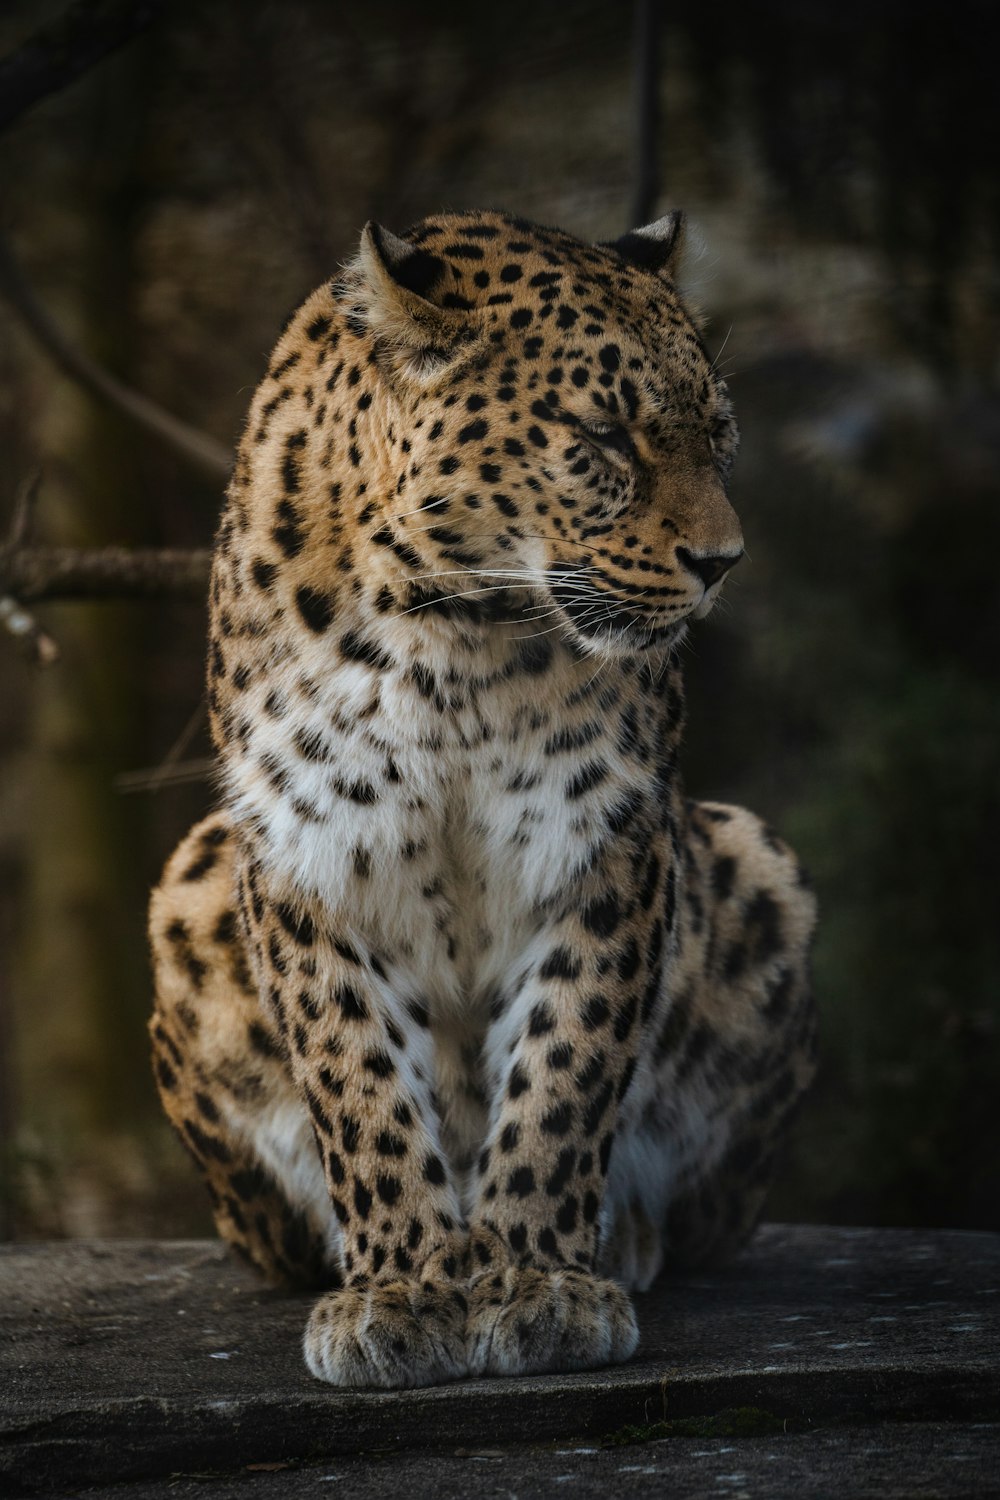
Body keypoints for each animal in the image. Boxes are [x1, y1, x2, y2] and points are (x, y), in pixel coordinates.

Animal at [150, 205, 821, 1386]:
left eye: (717, 433)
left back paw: (615, 1234)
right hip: (188, 882)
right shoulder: (303, 847)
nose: (723, 562)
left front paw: (540, 1279)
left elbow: (567, 1064)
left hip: (754, 863)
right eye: (606, 436)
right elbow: (359, 1079)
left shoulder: (608, 840)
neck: (455, 635)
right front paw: (404, 1286)